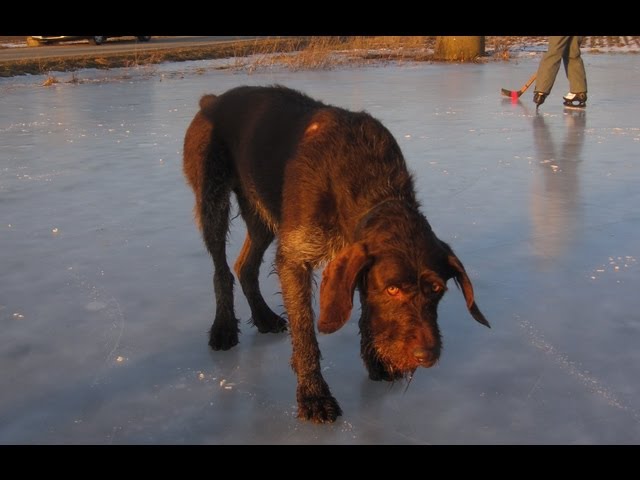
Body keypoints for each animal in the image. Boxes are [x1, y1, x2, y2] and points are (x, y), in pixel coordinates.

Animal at [182, 86, 488, 424]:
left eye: (436, 289)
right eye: (393, 289)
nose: (426, 356)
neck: (368, 181)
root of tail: (212, 100)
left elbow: (366, 313)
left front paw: (375, 362)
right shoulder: (295, 258)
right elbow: (305, 332)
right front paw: (314, 395)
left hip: (261, 215)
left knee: (245, 266)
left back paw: (263, 316)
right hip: (214, 203)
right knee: (222, 269)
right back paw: (224, 327)